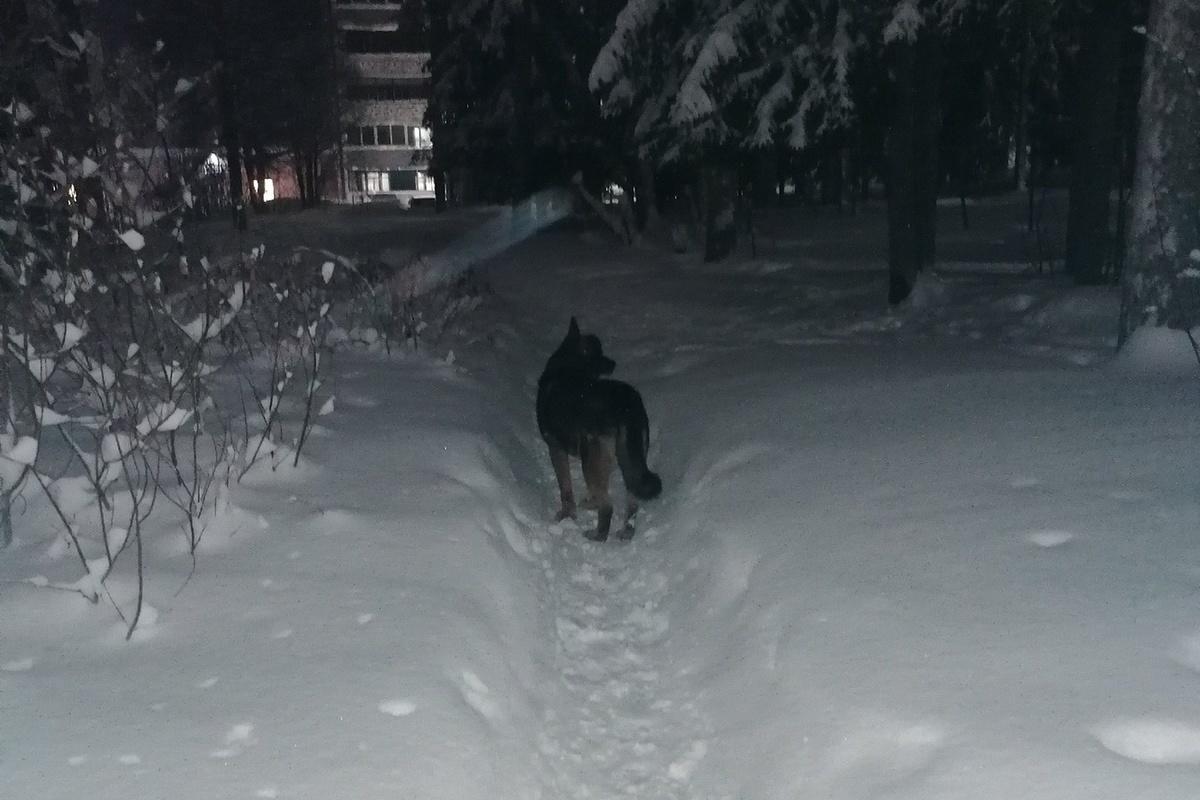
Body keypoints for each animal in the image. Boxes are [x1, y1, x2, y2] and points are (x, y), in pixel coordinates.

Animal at [537, 316, 662, 542]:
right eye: (600, 352)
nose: (613, 363)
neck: (568, 365)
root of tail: (625, 404)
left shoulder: (555, 448)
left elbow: (565, 488)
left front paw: (567, 515)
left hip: (591, 459)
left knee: (606, 504)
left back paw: (597, 532)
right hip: (632, 459)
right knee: (632, 500)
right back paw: (626, 532)